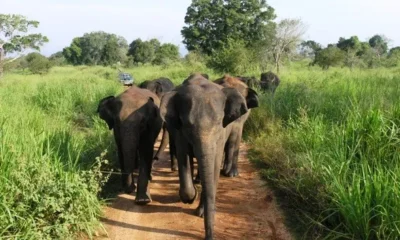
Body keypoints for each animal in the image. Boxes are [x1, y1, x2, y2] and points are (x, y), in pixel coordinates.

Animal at [159, 74, 250, 239]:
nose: (209, 237)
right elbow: (183, 157)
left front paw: (200, 212)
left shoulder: (221, 135)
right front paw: (190, 197)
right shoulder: (180, 132)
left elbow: (214, 164)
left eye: (219, 122)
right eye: (187, 124)